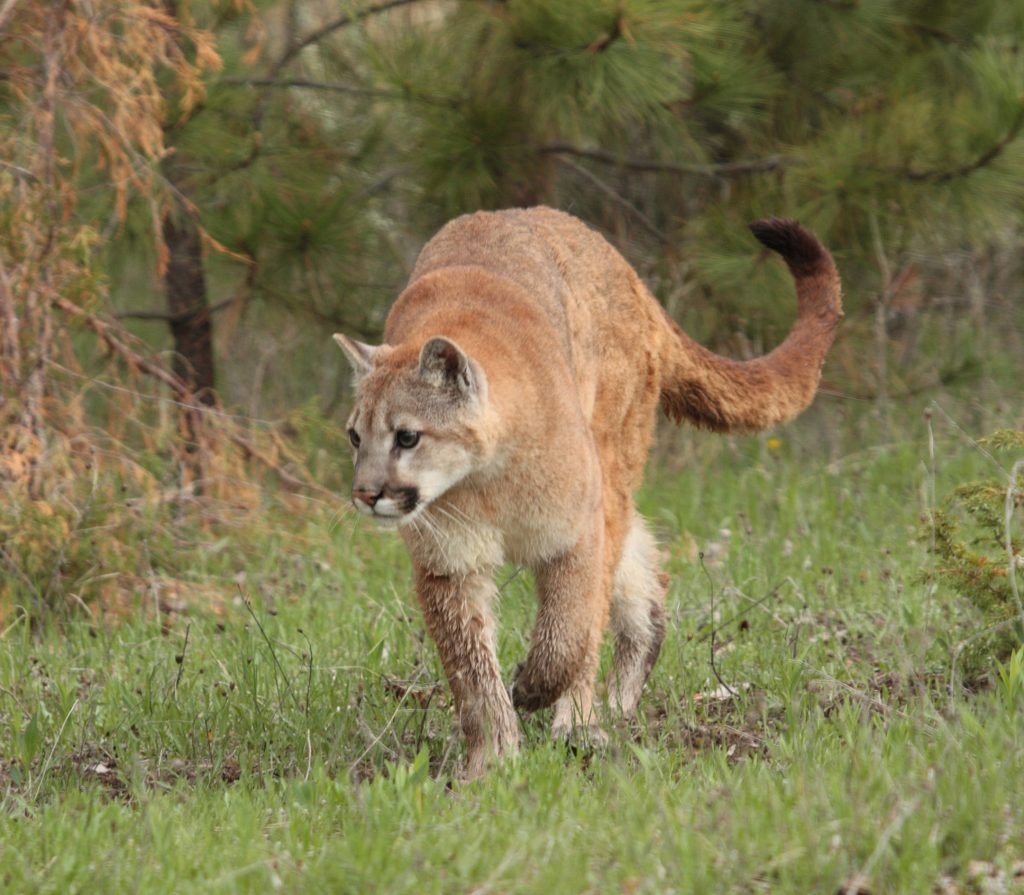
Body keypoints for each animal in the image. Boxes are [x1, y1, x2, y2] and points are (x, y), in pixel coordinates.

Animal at [335, 205, 839, 778]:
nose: (365, 493)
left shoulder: (573, 539)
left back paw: (579, 724)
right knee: (647, 581)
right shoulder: (450, 564)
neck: (487, 480)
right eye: (355, 436)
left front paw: (532, 690)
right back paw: (615, 703)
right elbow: (471, 668)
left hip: (611, 467)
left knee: (602, 607)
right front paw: (492, 761)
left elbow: (568, 635)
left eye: (407, 437)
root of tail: (627, 270)